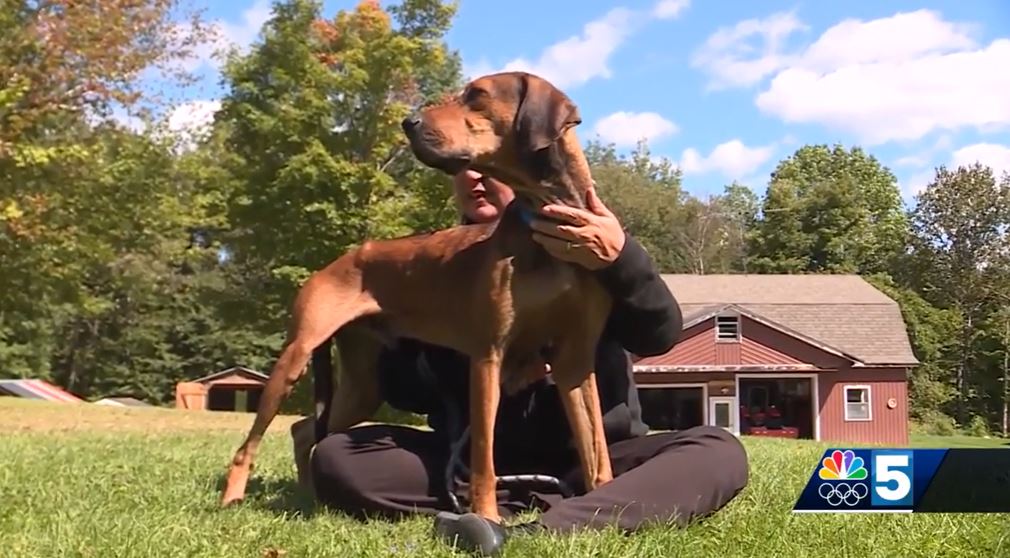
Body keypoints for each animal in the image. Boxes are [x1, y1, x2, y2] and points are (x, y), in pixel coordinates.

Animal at [221, 69, 614, 521]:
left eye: (477, 96)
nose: (408, 122)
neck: (547, 216)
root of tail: (333, 263)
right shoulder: (489, 356)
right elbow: (483, 455)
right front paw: (486, 516)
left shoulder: (574, 360)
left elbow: (596, 448)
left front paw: (605, 503)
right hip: (297, 355)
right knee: (253, 443)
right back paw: (232, 498)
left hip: (362, 385)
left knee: (304, 430)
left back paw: (309, 494)